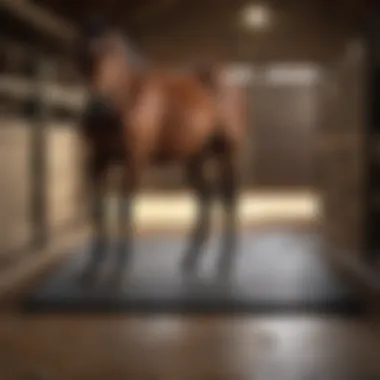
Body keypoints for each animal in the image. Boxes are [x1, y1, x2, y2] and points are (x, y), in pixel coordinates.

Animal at [76, 19, 246, 284]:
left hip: (226, 152)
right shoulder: (96, 161)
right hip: (195, 158)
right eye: (82, 49)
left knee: (229, 196)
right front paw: (92, 268)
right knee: (206, 196)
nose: (98, 106)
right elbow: (98, 210)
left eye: (113, 51)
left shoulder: (134, 160)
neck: (127, 98)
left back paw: (225, 262)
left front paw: (118, 270)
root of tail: (227, 78)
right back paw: (191, 258)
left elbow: (125, 209)